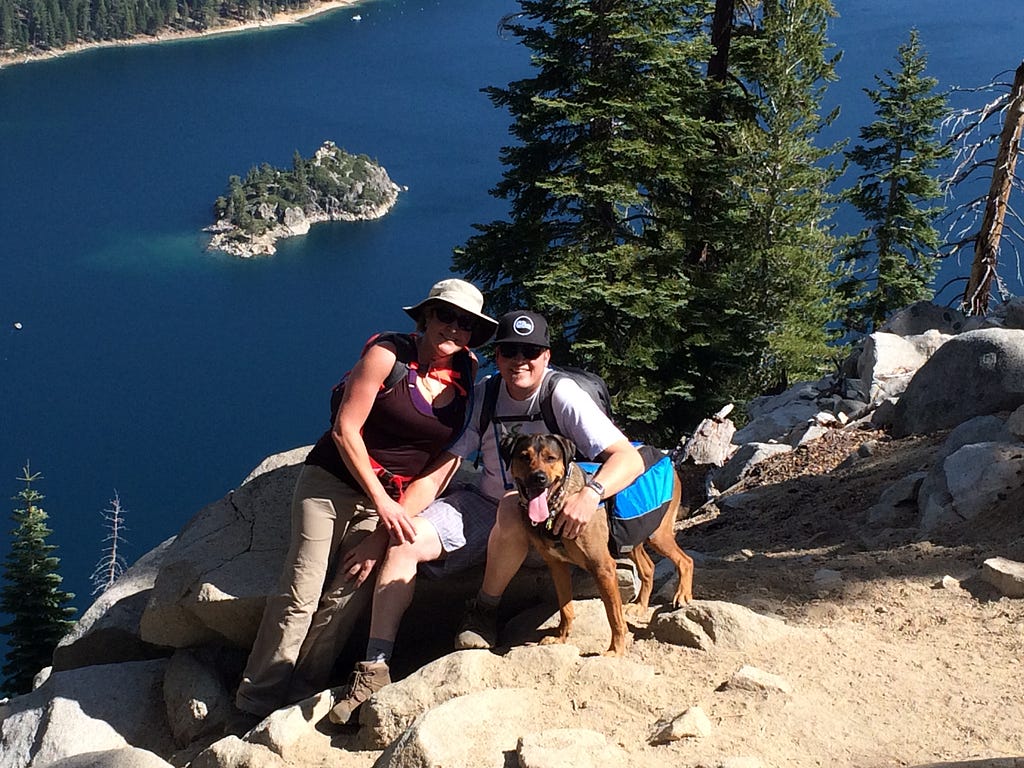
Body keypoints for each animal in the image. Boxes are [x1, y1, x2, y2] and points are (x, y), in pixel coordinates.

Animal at [505, 434, 696, 655]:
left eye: (550, 457)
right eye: (523, 456)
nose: (539, 478)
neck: (555, 509)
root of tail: (669, 461)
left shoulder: (602, 567)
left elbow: (613, 615)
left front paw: (616, 650)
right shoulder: (556, 565)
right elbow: (565, 608)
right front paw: (560, 638)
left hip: (657, 534)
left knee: (685, 560)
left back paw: (682, 595)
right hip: (629, 539)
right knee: (648, 567)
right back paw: (640, 605)